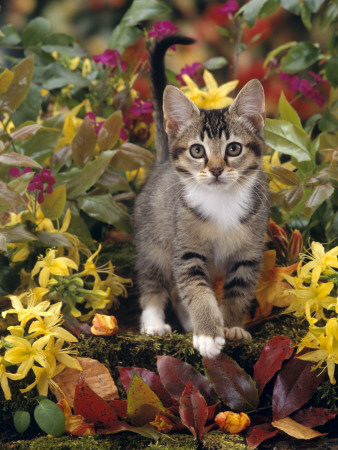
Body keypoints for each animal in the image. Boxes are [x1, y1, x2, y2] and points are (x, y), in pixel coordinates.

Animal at [133, 35, 268, 358]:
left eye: (234, 148)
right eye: (197, 150)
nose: (216, 169)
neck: (222, 202)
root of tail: (160, 164)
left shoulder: (248, 254)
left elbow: (237, 291)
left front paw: (230, 326)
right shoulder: (186, 250)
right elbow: (196, 290)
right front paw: (208, 333)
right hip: (153, 241)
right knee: (154, 283)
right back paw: (154, 322)